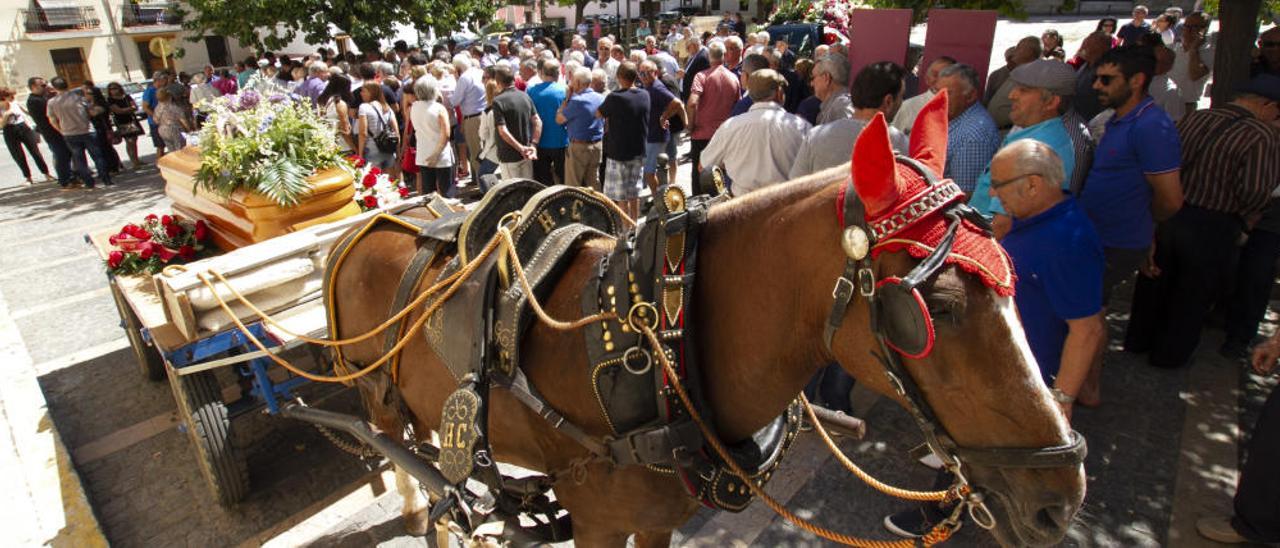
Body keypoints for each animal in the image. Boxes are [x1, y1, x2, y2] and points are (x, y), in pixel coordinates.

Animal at [327, 92, 1080, 545]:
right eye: (937, 310)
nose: (1063, 498)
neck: (668, 336)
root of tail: (376, 221)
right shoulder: (596, 523)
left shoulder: (659, 518)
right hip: (375, 392)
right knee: (400, 449)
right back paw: (423, 509)